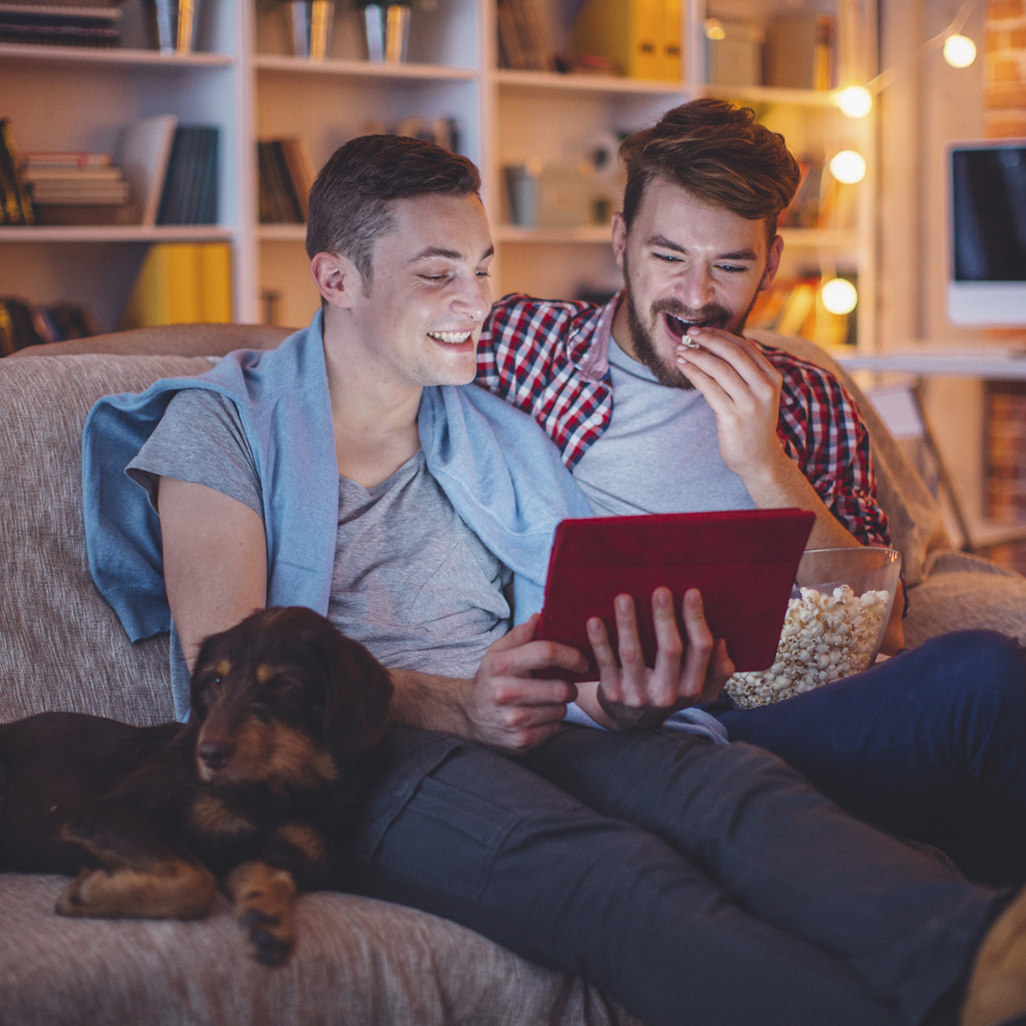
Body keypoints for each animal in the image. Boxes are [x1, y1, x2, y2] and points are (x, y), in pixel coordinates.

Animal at [0, 603, 391, 964]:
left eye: (283, 684)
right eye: (215, 681)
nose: (208, 754)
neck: (268, 794)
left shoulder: (266, 854)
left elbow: (269, 875)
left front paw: (268, 917)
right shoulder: (109, 813)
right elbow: (197, 880)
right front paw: (92, 894)